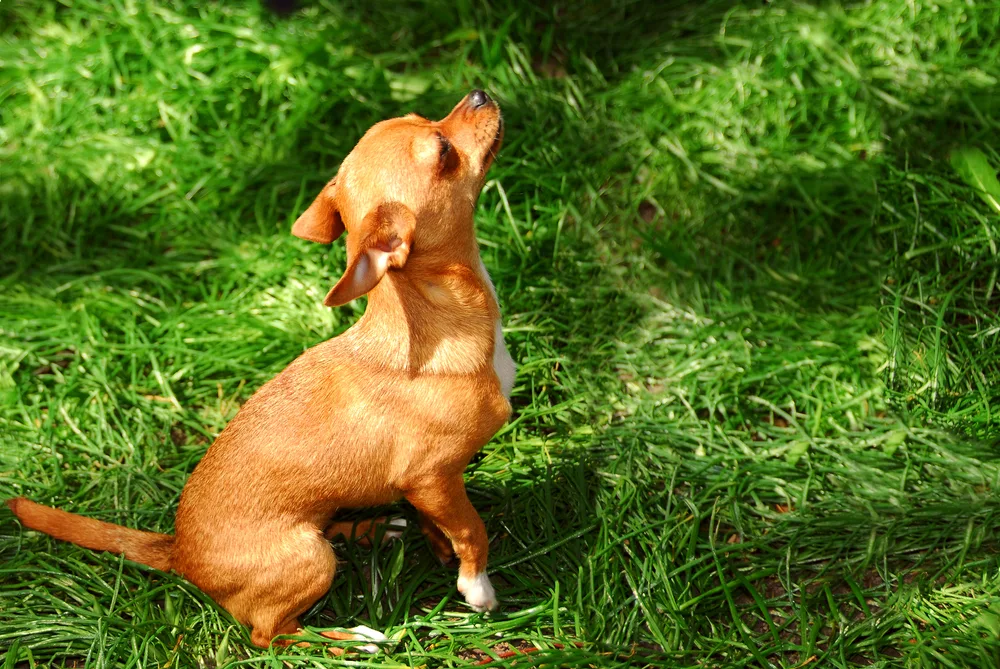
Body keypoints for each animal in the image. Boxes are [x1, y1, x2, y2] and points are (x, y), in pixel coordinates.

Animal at [9, 90, 516, 648]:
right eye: (443, 150)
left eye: (423, 118)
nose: (479, 94)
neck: (436, 317)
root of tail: (180, 554)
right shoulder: (432, 478)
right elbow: (471, 528)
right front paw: (476, 587)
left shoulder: (427, 489)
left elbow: (441, 525)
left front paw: (437, 546)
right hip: (308, 561)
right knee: (272, 634)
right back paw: (354, 637)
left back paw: (370, 529)